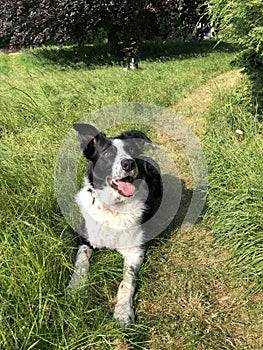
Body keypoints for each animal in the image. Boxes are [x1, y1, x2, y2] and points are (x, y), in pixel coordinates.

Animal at [69, 123, 162, 328]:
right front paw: (75, 286)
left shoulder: (136, 250)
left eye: (131, 150)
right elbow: (81, 260)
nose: (129, 164)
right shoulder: (85, 236)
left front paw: (123, 311)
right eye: (107, 154)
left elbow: (127, 280)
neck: (113, 207)